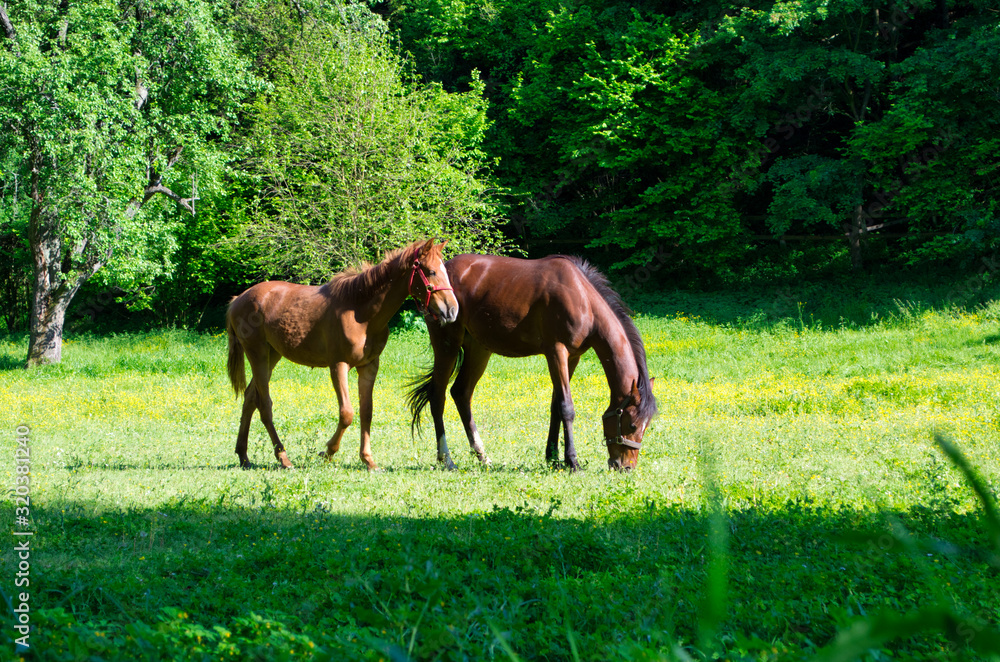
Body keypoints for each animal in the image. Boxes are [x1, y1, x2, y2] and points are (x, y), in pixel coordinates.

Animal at [226, 239, 458, 470]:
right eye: (431, 271)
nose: (452, 310)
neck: (360, 312)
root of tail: (237, 299)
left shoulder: (369, 366)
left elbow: (366, 412)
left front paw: (368, 460)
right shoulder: (339, 365)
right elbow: (347, 413)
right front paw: (328, 452)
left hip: (272, 355)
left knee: (250, 398)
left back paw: (243, 456)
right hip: (257, 353)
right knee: (264, 405)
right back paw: (283, 458)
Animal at [407, 253, 657, 471]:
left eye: (647, 427)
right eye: (633, 425)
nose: (626, 467)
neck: (582, 297)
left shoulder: (572, 357)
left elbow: (556, 406)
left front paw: (553, 457)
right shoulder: (556, 352)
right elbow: (566, 407)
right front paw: (572, 461)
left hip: (479, 349)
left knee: (461, 393)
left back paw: (482, 455)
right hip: (447, 345)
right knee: (437, 397)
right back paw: (446, 459)